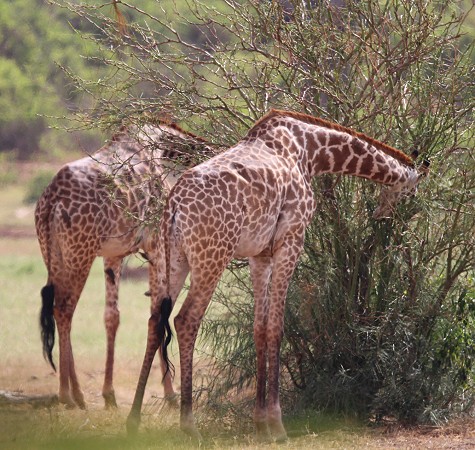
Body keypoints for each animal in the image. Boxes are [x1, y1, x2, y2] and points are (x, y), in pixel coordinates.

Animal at [34, 121, 217, 410]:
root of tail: (51, 200)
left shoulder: (114, 254)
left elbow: (112, 317)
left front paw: (109, 395)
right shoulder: (155, 246)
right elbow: (156, 313)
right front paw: (170, 395)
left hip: (53, 253)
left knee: (57, 308)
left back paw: (75, 394)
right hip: (80, 253)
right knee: (64, 309)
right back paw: (70, 395)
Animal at [124, 109, 430, 440]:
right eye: (412, 191)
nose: (384, 214)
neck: (311, 151)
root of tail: (174, 206)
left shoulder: (260, 254)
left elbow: (259, 327)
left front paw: (260, 422)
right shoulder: (291, 240)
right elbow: (276, 327)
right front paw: (276, 424)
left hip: (172, 259)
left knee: (155, 320)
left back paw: (133, 420)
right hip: (212, 256)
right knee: (185, 320)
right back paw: (189, 425)